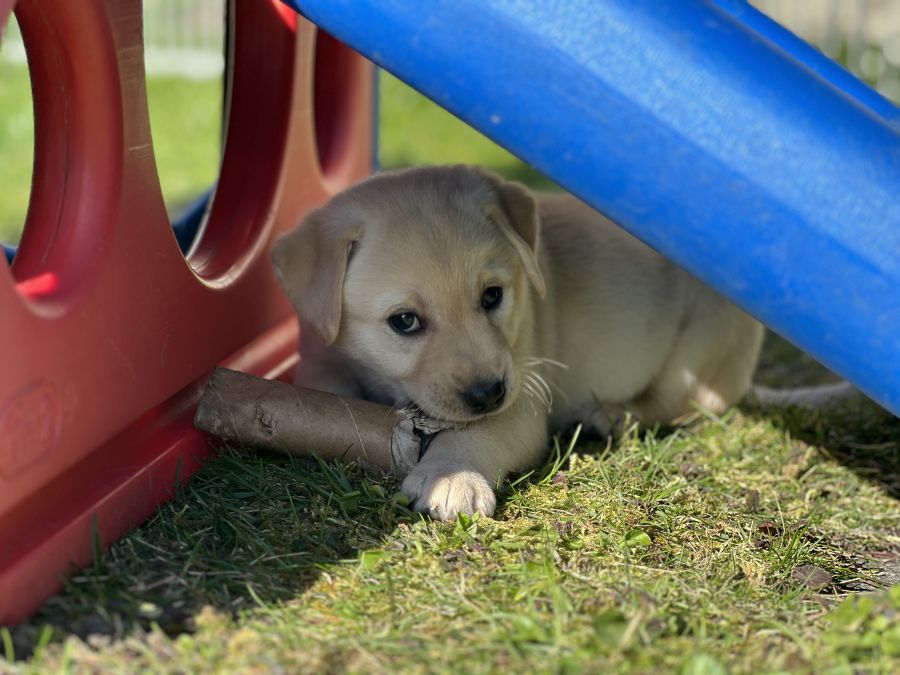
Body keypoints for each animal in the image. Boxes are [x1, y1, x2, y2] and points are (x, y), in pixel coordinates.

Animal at [272, 165, 764, 520]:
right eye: (405, 322)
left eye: (493, 296)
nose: (488, 394)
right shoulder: (319, 350)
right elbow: (322, 389)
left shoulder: (523, 400)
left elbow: (479, 433)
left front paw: (451, 477)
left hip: (701, 346)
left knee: (681, 405)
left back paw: (612, 415)